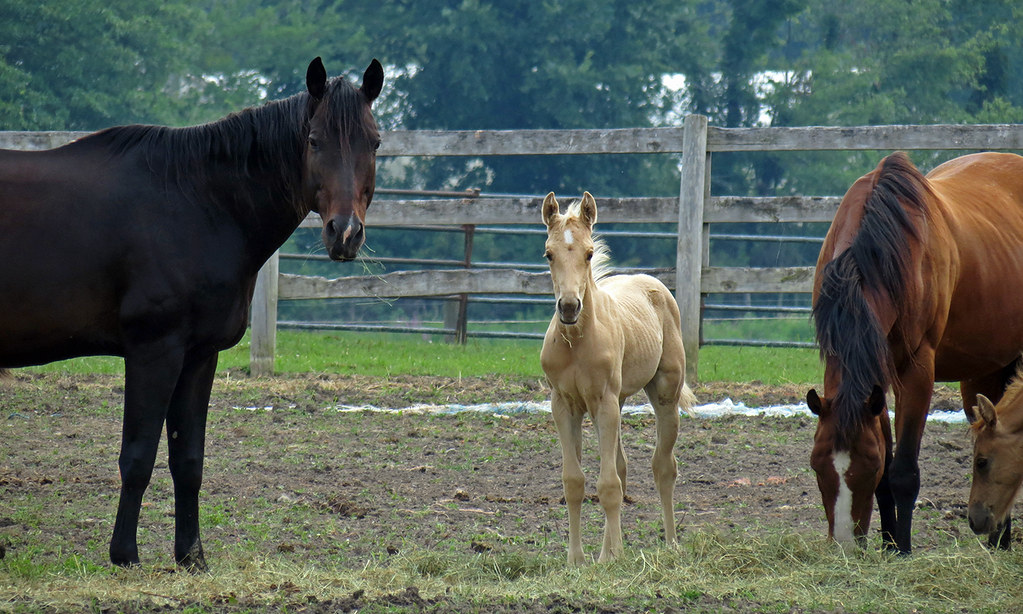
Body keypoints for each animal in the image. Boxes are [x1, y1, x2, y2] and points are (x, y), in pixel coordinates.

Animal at [0, 57, 383, 570]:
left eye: (374, 142)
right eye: (314, 140)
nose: (344, 233)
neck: (197, 201)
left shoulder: (199, 356)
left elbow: (188, 460)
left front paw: (191, 557)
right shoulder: (154, 352)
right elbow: (138, 455)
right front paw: (125, 555)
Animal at [539, 191, 696, 564]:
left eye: (589, 253)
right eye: (549, 253)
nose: (569, 307)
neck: (577, 341)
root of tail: (652, 282)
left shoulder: (604, 402)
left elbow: (608, 484)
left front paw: (613, 557)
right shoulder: (564, 405)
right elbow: (575, 481)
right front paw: (578, 559)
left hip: (663, 395)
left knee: (663, 467)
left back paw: (670, 544)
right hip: (616, 403)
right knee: (621, 467)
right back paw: (608, 551)